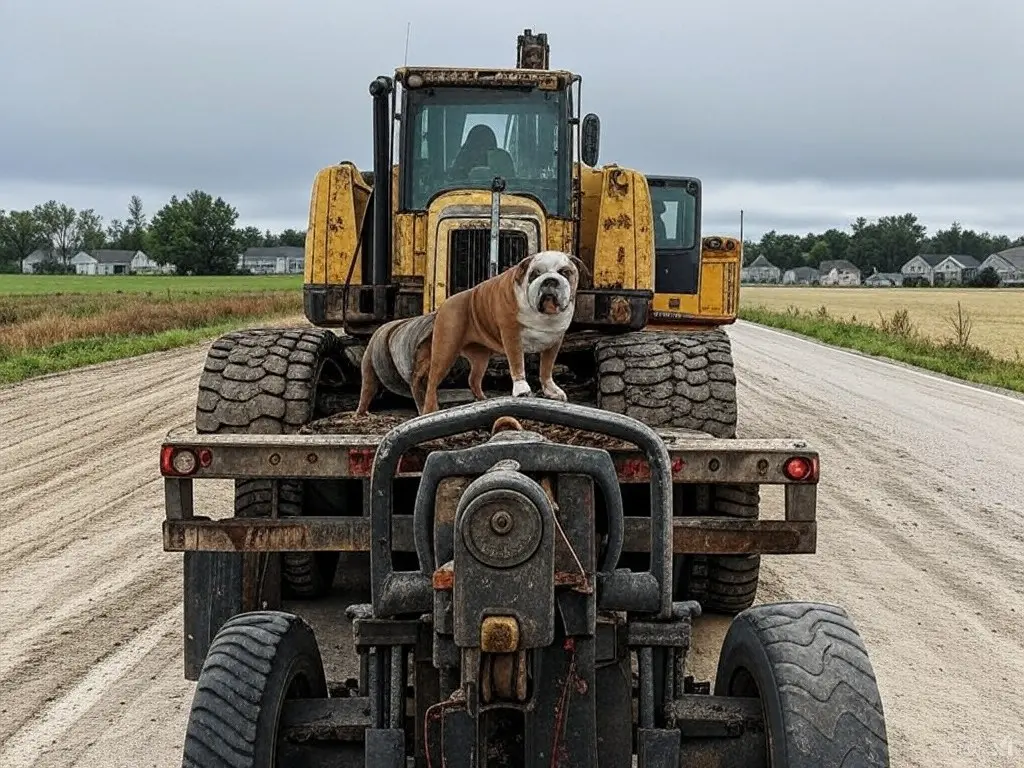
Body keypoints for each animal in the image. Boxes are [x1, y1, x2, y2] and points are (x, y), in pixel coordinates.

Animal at [356, 250, 585, 417]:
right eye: (535, 274)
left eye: (565, 272)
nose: (550, 280)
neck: (542, 315)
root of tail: (444, 305)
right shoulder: (511, 335)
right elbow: (517, 363)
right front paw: (521, 389)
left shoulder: (554, 341)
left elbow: (546, 368)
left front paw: (551, 390)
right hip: (445, 351)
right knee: (431, 382)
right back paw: (430, 410)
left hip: (480, 357)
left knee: (473, 379)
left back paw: (483, 401)